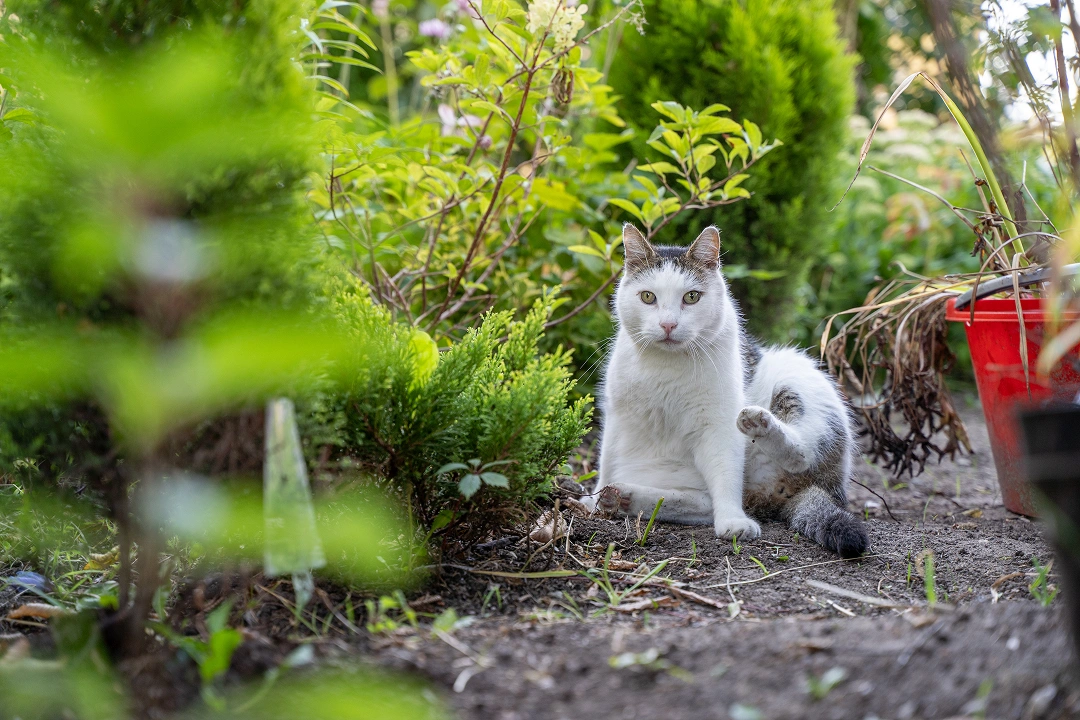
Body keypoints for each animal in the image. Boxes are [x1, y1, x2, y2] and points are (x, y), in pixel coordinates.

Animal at [582, 223, 868, 558]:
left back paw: (760, 423)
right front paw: (595, 498)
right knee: (702, 503)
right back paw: (622, 496)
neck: (665, 366)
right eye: (648, 297)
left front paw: (733, 521)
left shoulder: (718, 425)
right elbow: (605, 461)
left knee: (801, 455)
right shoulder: (617, 417)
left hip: (797, 377)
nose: (668, 325)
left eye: (692, 297)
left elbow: (726, 472)